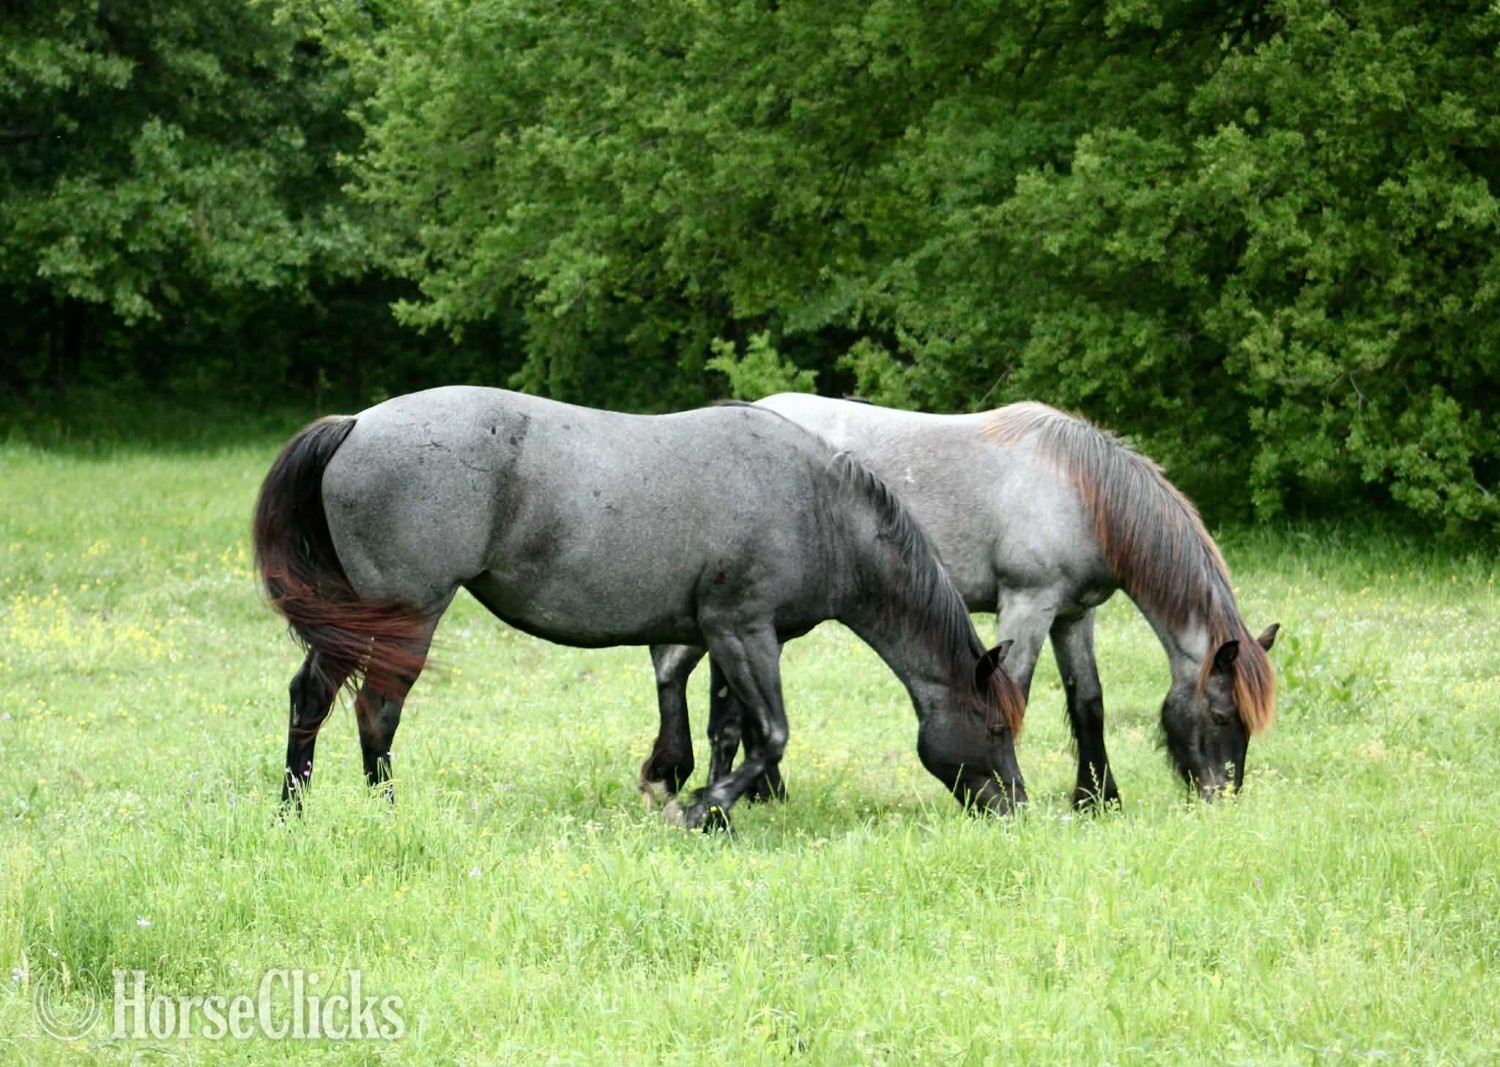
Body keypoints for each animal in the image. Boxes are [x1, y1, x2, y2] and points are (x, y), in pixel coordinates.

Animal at [252, 386, 1027, 829]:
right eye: (995, 727)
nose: (1016, 807)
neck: (816, 505)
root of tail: (356, 423)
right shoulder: (743, 631)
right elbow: (771, 733)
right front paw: (701, 809)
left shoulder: (730, 637)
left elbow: (729, 730)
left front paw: (712, 807)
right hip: (406, 616)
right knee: (376, 712)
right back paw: (385, 814)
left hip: (355, 618)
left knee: (310, 698)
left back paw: (293, 812)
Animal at [641, 394, 1278, 808]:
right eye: (1223, 715)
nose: (1223, 796)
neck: (1077, 489)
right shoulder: (1027, 604)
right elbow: (1016, 694)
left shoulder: (1075, 615)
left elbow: (1089, 704)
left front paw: (1097, 800)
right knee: (678, 669)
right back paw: (698, 779)